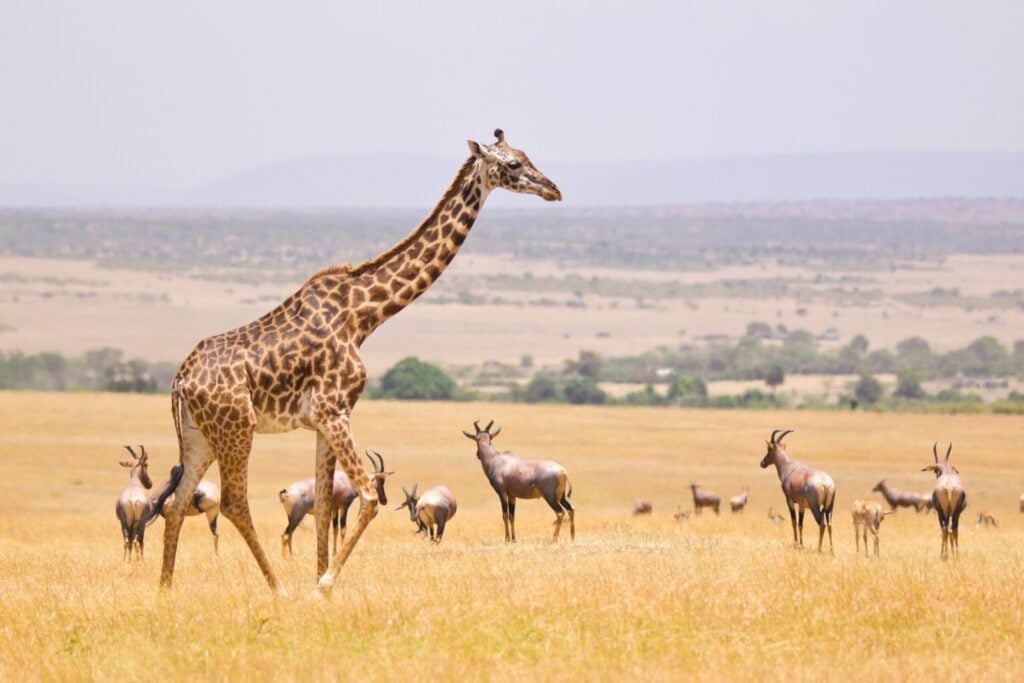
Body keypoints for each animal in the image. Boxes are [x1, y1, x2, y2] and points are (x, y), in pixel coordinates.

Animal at [160, 129, 561, 595]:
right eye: (513, 164)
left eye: (526, 155)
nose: (553, 189)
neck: (363, 315)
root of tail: (180, 380)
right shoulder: (335, 411)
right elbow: (368, 496)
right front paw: (323, 584)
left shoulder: (321, 420)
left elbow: (323, 502)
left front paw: (320, 579)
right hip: (236, 428)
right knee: (233, 502)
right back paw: (277, 588)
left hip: (199, 435)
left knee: (175, 503)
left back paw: (165, 588)